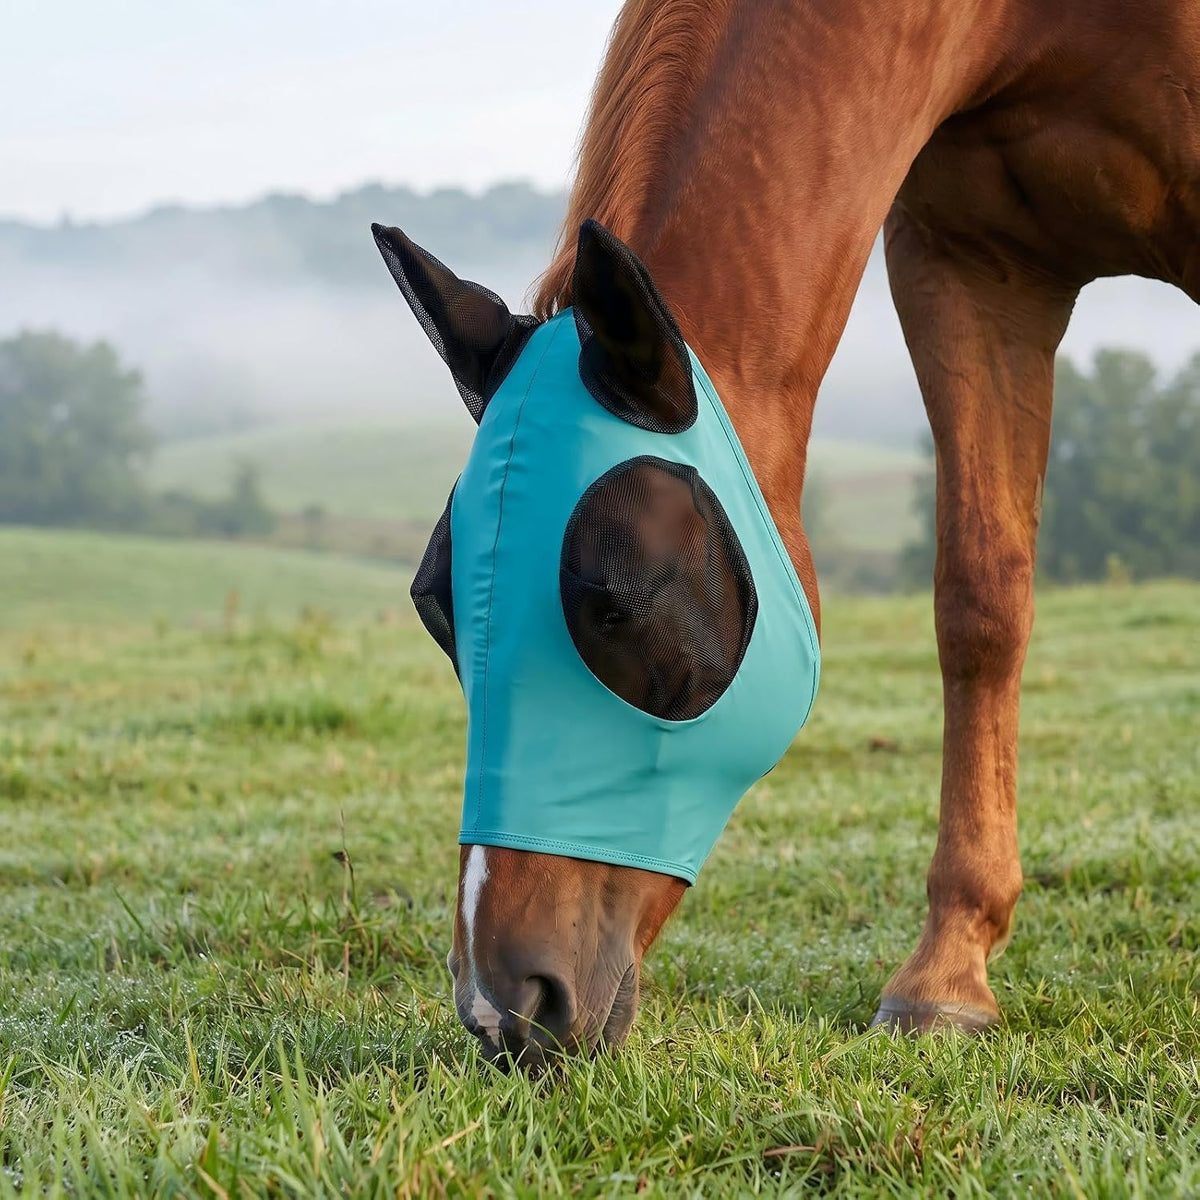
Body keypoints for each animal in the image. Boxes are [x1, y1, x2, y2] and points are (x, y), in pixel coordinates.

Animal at [379, 0, 1200, 1064]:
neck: (1023, 30)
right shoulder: (970, 270)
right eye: (435, 608)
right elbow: (981, 604)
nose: (502, 1008)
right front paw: (947, 978)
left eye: (619, 601)